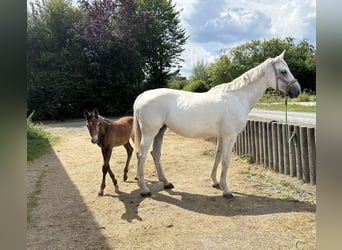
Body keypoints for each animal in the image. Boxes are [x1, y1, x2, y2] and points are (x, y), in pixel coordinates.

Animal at [132, 51, 300, 198]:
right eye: (283, 71)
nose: (296, 91)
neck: (237, 97)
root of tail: (143, 95)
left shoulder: (221, 136)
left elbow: (217, 157)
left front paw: (215, 182)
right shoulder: (230, 137)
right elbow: (225, 161)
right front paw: (226, 190)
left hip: (160, 131)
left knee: (155, 154)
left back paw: (166, 183)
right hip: (149, 133)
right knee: (141, 154)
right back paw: (145, 189)